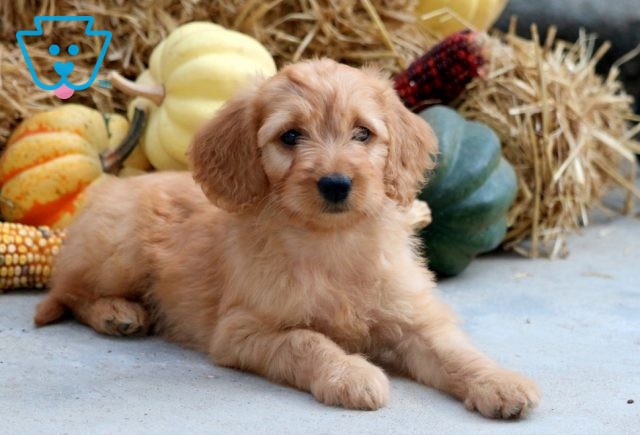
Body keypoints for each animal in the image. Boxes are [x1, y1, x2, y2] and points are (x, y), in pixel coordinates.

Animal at [35, 58, 540, 418]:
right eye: (291, 136)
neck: (331, 243)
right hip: (118, 252)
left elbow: (454, 351)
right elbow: (307, 341)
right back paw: (115, 313)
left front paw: (500, 382)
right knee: (66, 290)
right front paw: (350, 374)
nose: (335, 184)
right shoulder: (242, 330)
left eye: (363, 134)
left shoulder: (414, 319)